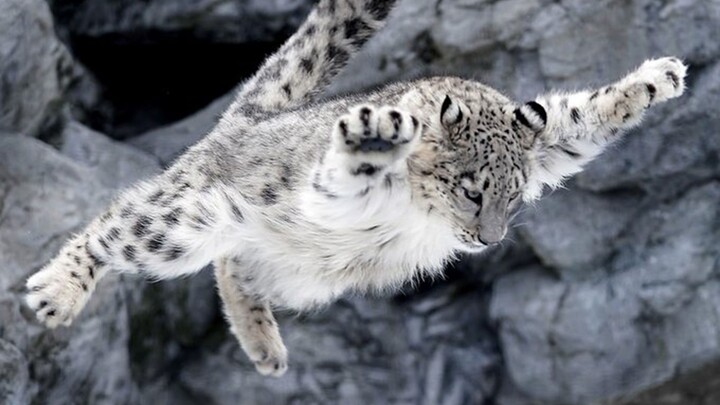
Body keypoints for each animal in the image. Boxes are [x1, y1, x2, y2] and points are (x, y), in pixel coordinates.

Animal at [25, 0, 687, 377]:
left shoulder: (550, 145)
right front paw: (376, 135)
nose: (488, 240)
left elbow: (577, 119)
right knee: (118, 224)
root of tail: (244, 120)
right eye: (472, 192)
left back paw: (264, 345)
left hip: (293, 271)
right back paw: (56, 291)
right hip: (182, 221)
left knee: (232, 266)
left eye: (515, 197)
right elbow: (348, 172)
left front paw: (658, 78)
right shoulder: (329, 194)